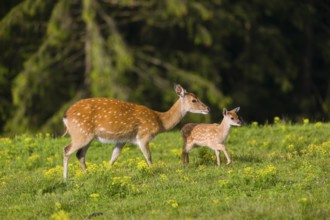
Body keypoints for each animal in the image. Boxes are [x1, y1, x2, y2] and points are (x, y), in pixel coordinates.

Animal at [62, 84, 209, 180]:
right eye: (194, 100)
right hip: (81, 133)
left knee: (80, 154)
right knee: (66, 149)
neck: (160, 121)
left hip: (88, 136)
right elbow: (148, 156)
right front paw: (153, 171)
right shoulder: (143, 136)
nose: (207, 108)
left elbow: (114, 157)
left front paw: (105, 173)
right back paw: (65, 179)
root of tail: (66, 116)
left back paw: (87, 174)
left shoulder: (122, 139)